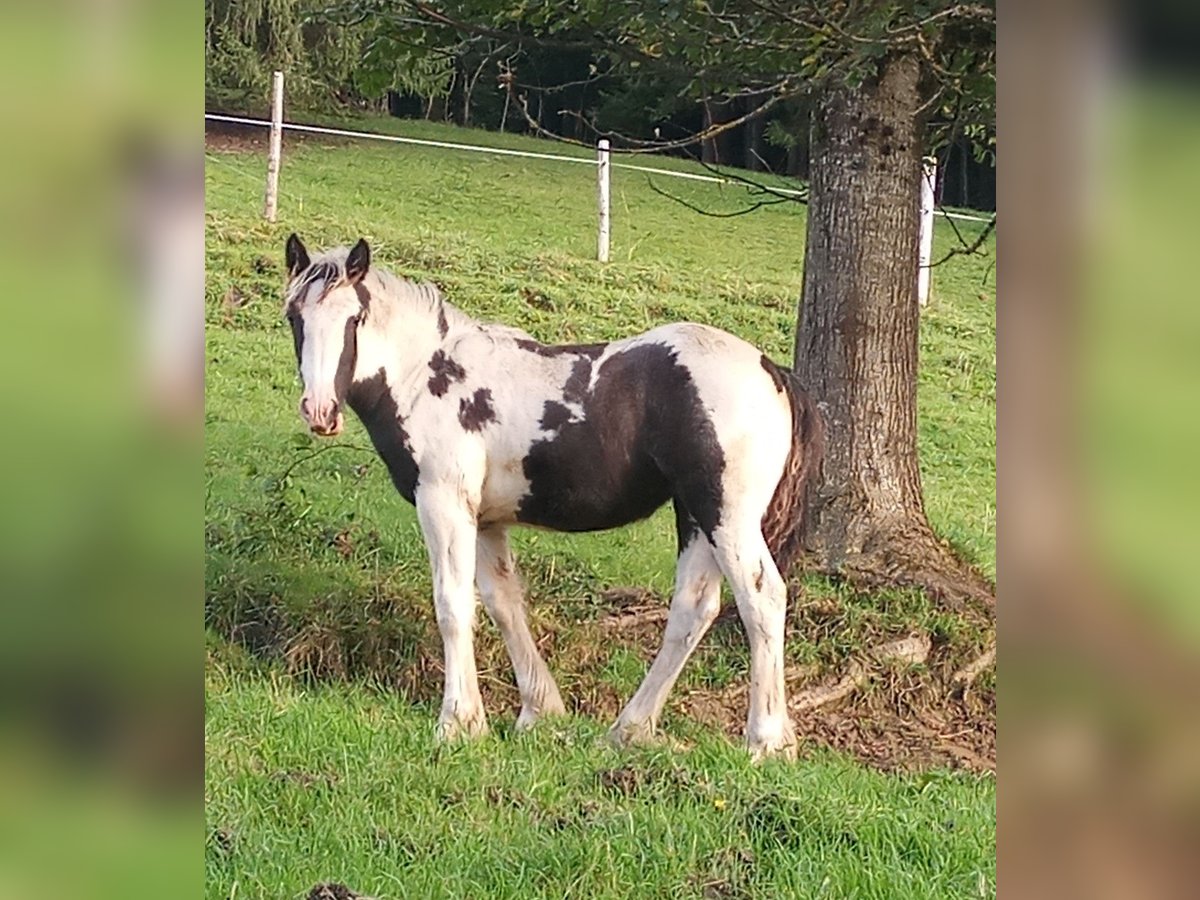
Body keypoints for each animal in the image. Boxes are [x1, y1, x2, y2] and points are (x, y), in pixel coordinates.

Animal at [282, 234, 825, 763]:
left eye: (354, 318)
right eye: (294, 316)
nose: (319, 410)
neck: (426, 375)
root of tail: (771, 370)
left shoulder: (443, 503)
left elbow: (453, 605)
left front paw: (458, 723)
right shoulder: (485, 519)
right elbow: (503, 604)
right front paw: (538, 711)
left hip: (725, 518)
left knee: (761, 598)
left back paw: (766, 742)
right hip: (695, 517)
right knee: (694, 610)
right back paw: (629, 730)